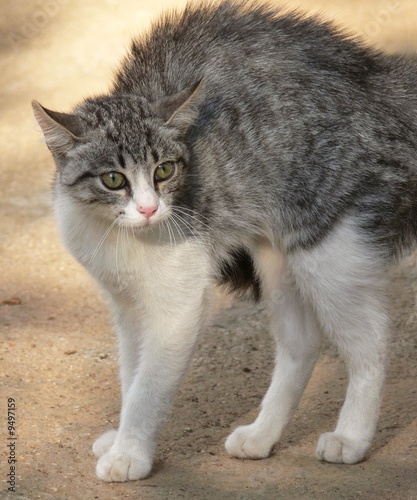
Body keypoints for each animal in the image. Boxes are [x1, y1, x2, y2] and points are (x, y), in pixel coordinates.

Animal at [32, 0, 416, 484]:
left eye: (164, 171)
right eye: (113, 179)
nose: (149, 209)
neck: (117, 234)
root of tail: (379, 78)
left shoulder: (177, 306)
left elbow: (148, 386)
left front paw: (128, 454)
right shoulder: (125, 303)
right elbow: (130, 372)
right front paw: (121, 437)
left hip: (326, 246)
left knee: (371, 341)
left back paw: (351, 437)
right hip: (275, 257)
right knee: (302, 342)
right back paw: (262, 435)